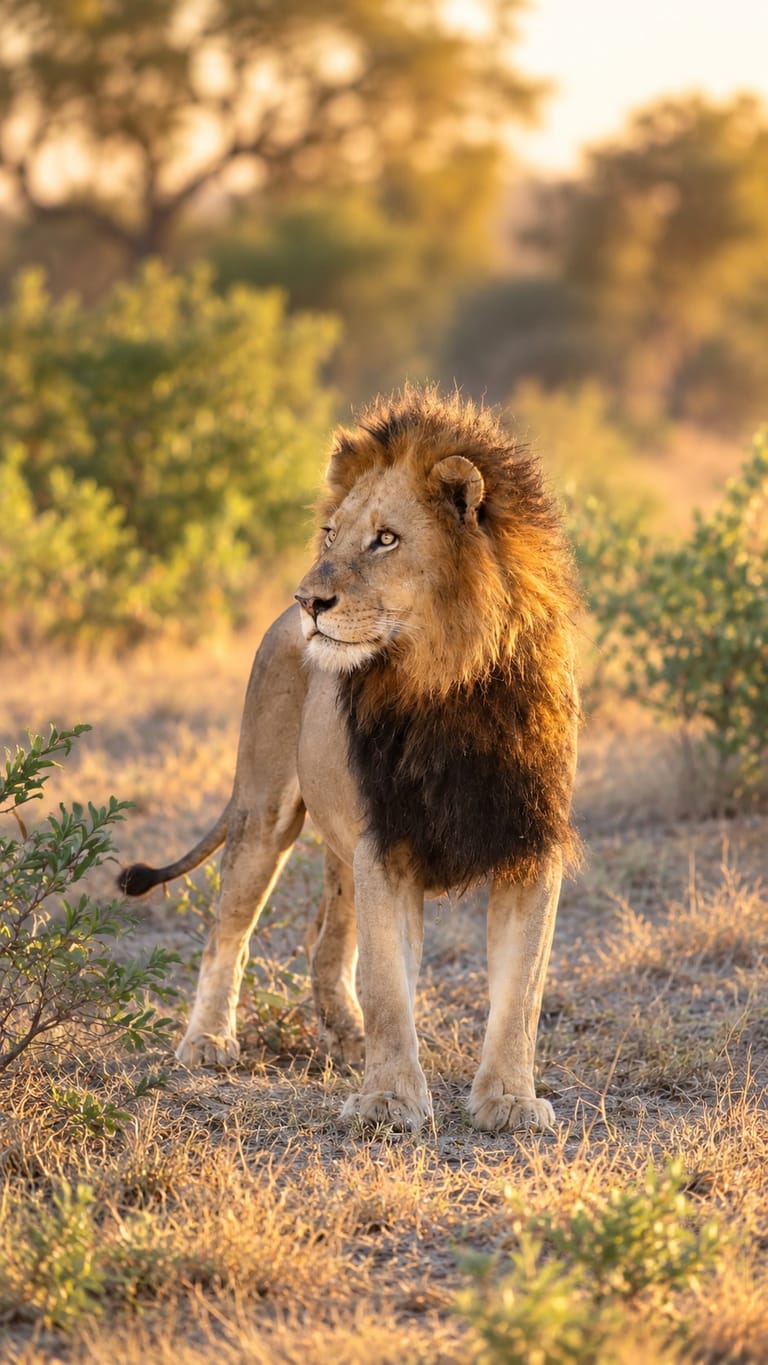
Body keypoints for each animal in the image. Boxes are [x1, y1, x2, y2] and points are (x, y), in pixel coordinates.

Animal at [119, 387, 580, 1132]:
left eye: (386, 538)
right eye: (330, 534)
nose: (309, 600)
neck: (448, 686)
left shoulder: (527, 844)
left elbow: (521, 993)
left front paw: (508, 1099)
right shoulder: (386, 846)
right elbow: (391, 986)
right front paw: (389, 1099)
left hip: (343, 846)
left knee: (326, 941)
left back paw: (345, 1036)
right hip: (265, 811)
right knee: (228, 930)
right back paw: (208, 1041)